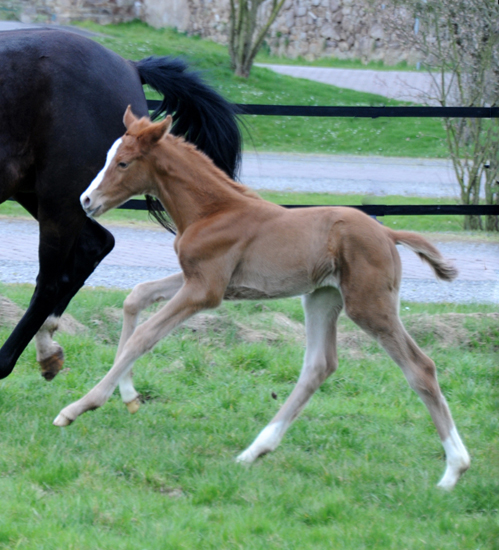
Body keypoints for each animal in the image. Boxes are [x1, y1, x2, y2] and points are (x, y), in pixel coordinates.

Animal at [0, 30, 242, 382]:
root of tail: (130, 66)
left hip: (61, 197)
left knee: (50, 281)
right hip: (48, 194)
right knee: (93, 247)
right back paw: (47, 348)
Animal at [55, 108, 472, 492]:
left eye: (123, 162)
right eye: (108, 157)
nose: (86, 200)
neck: (212, 210)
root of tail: (388, 233)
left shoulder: (204, 290)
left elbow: (144, 337)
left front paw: (78, 407)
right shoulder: (198, 280)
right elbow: (135, 297)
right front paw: (128, 395)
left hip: (368, 305)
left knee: (420, 367)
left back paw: (454, 471)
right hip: (321, 298)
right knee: (319, 366)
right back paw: (254, 451)